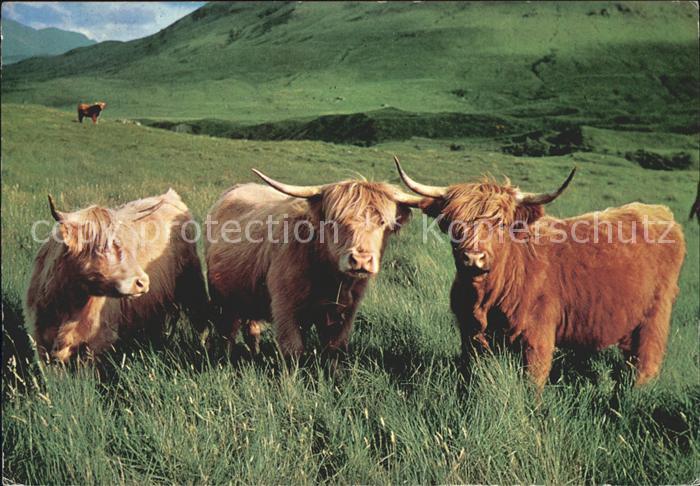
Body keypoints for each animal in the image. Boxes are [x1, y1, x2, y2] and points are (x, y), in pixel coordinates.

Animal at [26, 189, 209, 362]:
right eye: (100, 247)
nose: (143, 282)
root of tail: (170, 196)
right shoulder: (40, 344)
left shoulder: (98, 342)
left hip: (192, 282)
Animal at [205, 170, 423, 360]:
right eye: (335, 220)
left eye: (383, 223)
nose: (360, 260)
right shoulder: (285, 308)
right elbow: (292, 350)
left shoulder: (345, 313)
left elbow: (335, 351)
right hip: (222, 298)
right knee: (228, 332)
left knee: (251, 329)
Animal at [394, 157, 685, 391]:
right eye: (454, 223)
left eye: (501, 223)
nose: (473, 257)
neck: (485, 298)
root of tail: (659, 211)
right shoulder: (470, 336)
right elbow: (471, 376)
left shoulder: (538, 339)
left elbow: (532, 387)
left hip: (656, 315)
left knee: (646, 361)